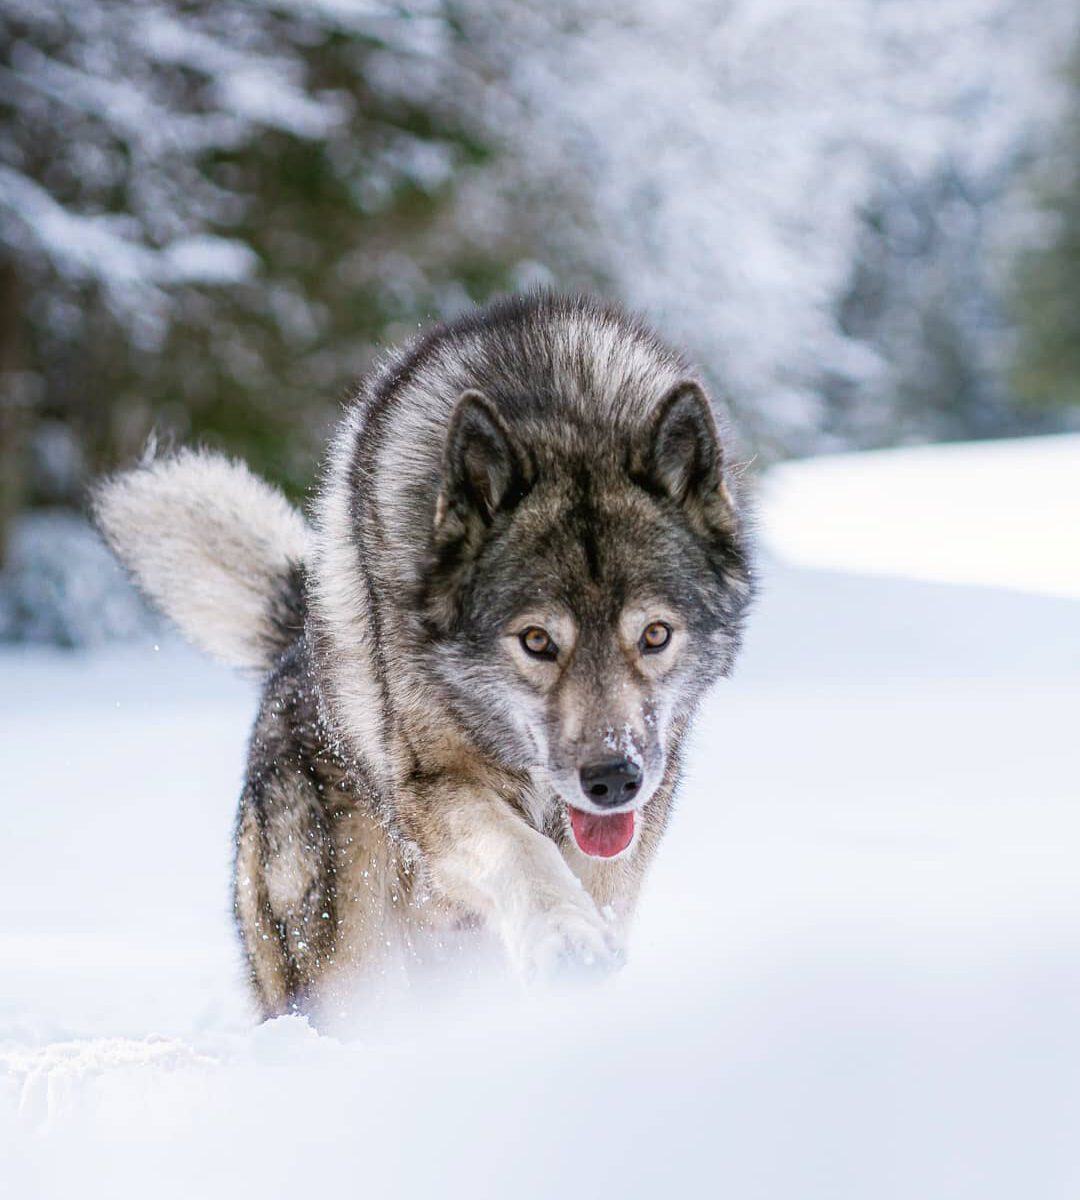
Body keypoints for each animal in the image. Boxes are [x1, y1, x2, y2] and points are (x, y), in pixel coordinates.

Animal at [93, 290, 753, 1012]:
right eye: (537, 641)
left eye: (655, 635)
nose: (611, 779)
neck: (560, 417)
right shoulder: (435, 794)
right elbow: (523, 850)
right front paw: (567, 940)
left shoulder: (640, 808)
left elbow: (598, 881)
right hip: (344, 961)